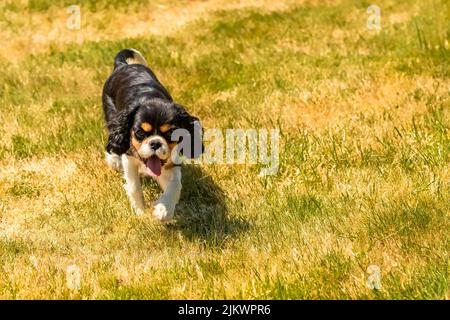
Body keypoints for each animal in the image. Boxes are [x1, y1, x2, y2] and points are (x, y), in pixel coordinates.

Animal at [103, 48, 203, 221]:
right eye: (140, 133)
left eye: (170, 133)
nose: (155, 143)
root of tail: (122, 66)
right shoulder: (129, 157)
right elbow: (134, 186)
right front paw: (140, 213)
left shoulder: (170, 162)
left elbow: (175, 184)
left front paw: (164, 211)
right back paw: (114, 160)